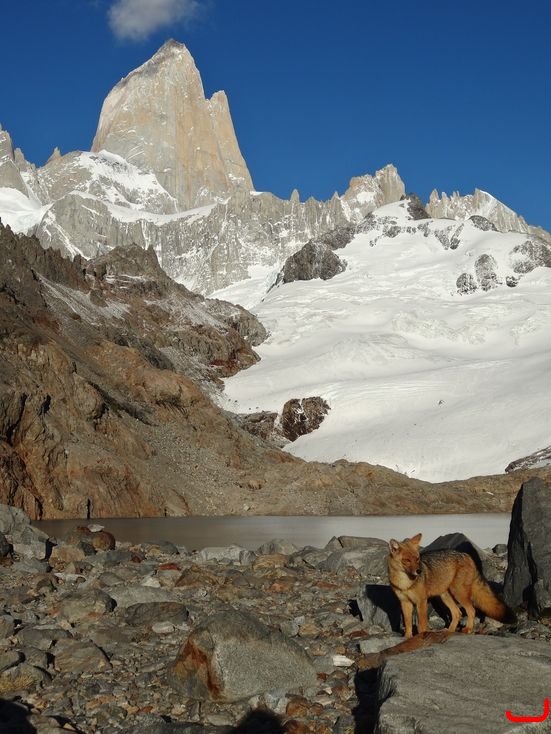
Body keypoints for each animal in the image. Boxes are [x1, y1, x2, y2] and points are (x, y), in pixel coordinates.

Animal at [388, 533, 516, 638]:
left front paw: (421, 636)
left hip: (458, 594)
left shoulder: (421, 601)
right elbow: (408, 623)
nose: (419, 571)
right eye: (407, 560)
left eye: (417, 558)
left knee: (471, 610)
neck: (405, 583)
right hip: (445, 596)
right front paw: (407, 637)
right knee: (457, 613)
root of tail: (466, 555)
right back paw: (449, 631)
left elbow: (422, 624)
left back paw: (468, 629)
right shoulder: (405, 602)